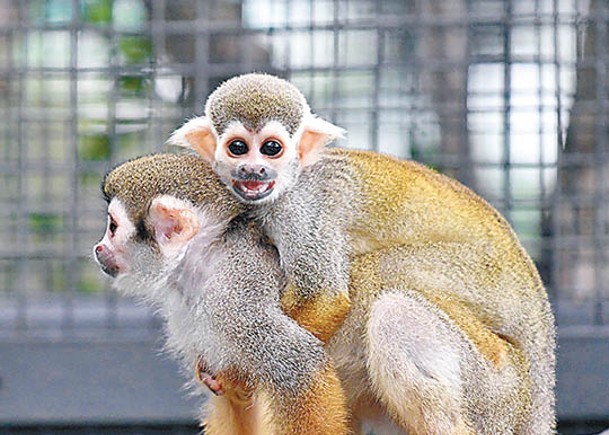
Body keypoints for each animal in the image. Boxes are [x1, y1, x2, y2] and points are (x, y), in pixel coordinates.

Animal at [92, 155, 552, 434]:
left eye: (112, 227)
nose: (98, 249)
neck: (200, 260)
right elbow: (237, 397)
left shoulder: (236, 295)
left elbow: (300, 365)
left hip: (493, 392)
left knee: (394, 312)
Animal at [169, 72, 552, 432]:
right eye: (237, 147)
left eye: (271, 148)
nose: (253, 170)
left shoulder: (300, 209)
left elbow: (323, 298)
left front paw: (240, 376)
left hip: (482, 295)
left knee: (391, 297)